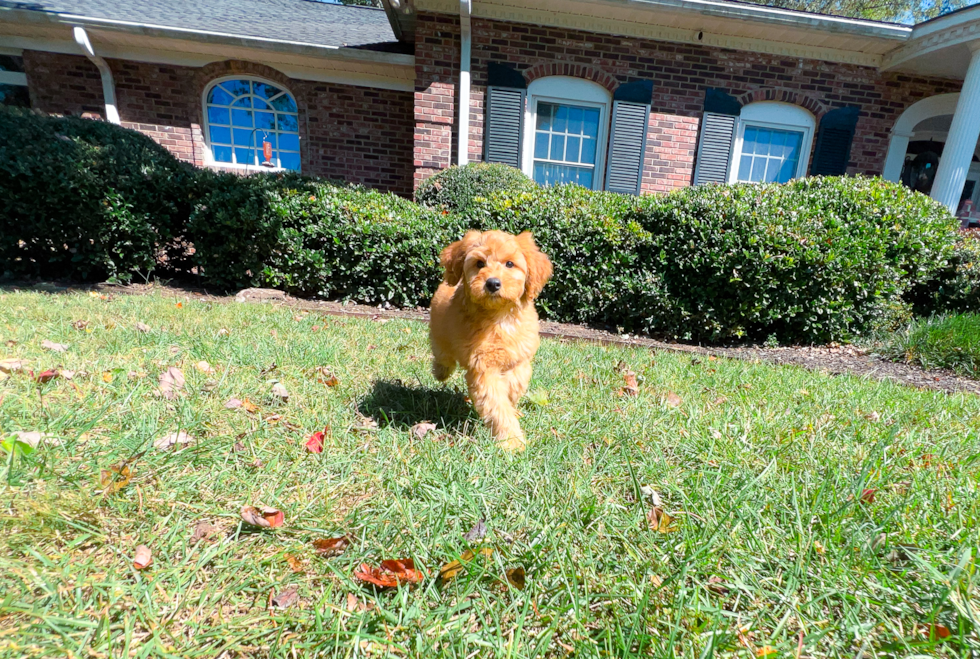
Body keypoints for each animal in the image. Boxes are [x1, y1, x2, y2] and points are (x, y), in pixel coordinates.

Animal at [428, 229, 552, 452]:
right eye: (479, 263)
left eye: (510, 264)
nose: (493, 283)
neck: (500, 317)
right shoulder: (484, 368)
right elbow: (497, 405)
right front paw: (512, 441)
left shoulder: (520, 356)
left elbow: (515, 383)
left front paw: (512, 404)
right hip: (439, 334)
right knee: (443, 356)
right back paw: (441, 371)